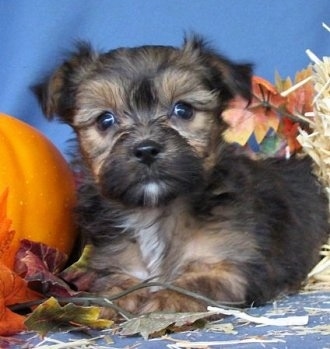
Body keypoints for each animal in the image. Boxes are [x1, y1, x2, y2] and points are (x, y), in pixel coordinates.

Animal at [34, 36, 330, 314]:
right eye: (105, 120)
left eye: (183, 109)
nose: (146, 150)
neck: (156, 212)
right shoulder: (117, 264)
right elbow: (114, 284)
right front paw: (118, 297)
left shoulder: (231, 266)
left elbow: (198, 281)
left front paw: (167, 298)